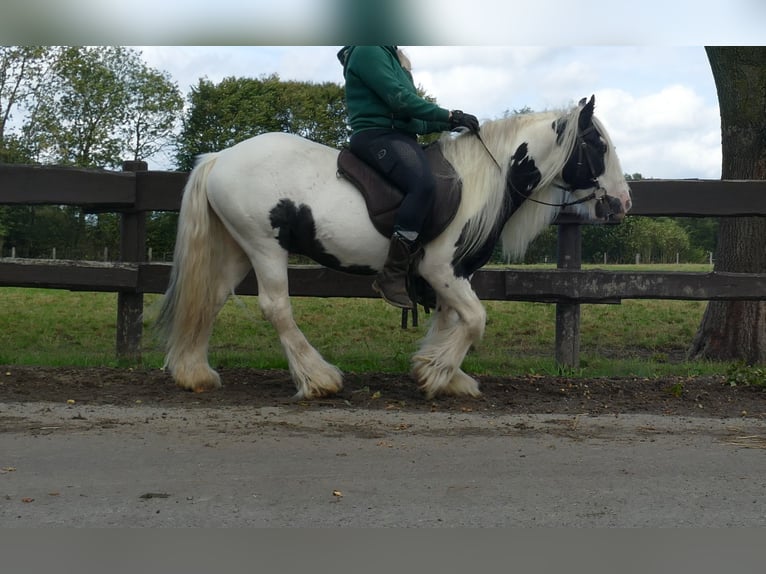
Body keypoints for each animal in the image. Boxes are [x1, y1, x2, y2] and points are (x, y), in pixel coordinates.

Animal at [154, 94, 632, 400]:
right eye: (597, 144)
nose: (623, 203)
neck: (483, 181)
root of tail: (219, 157)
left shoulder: (448, 274)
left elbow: (450, 320)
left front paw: (440, 372)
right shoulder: (441, 269)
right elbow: (475, 320)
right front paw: (437, 374)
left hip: (239, 249)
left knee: (211, 297)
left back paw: (194, 374)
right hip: (265, 246)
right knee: (276, 308)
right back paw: (318, 379)